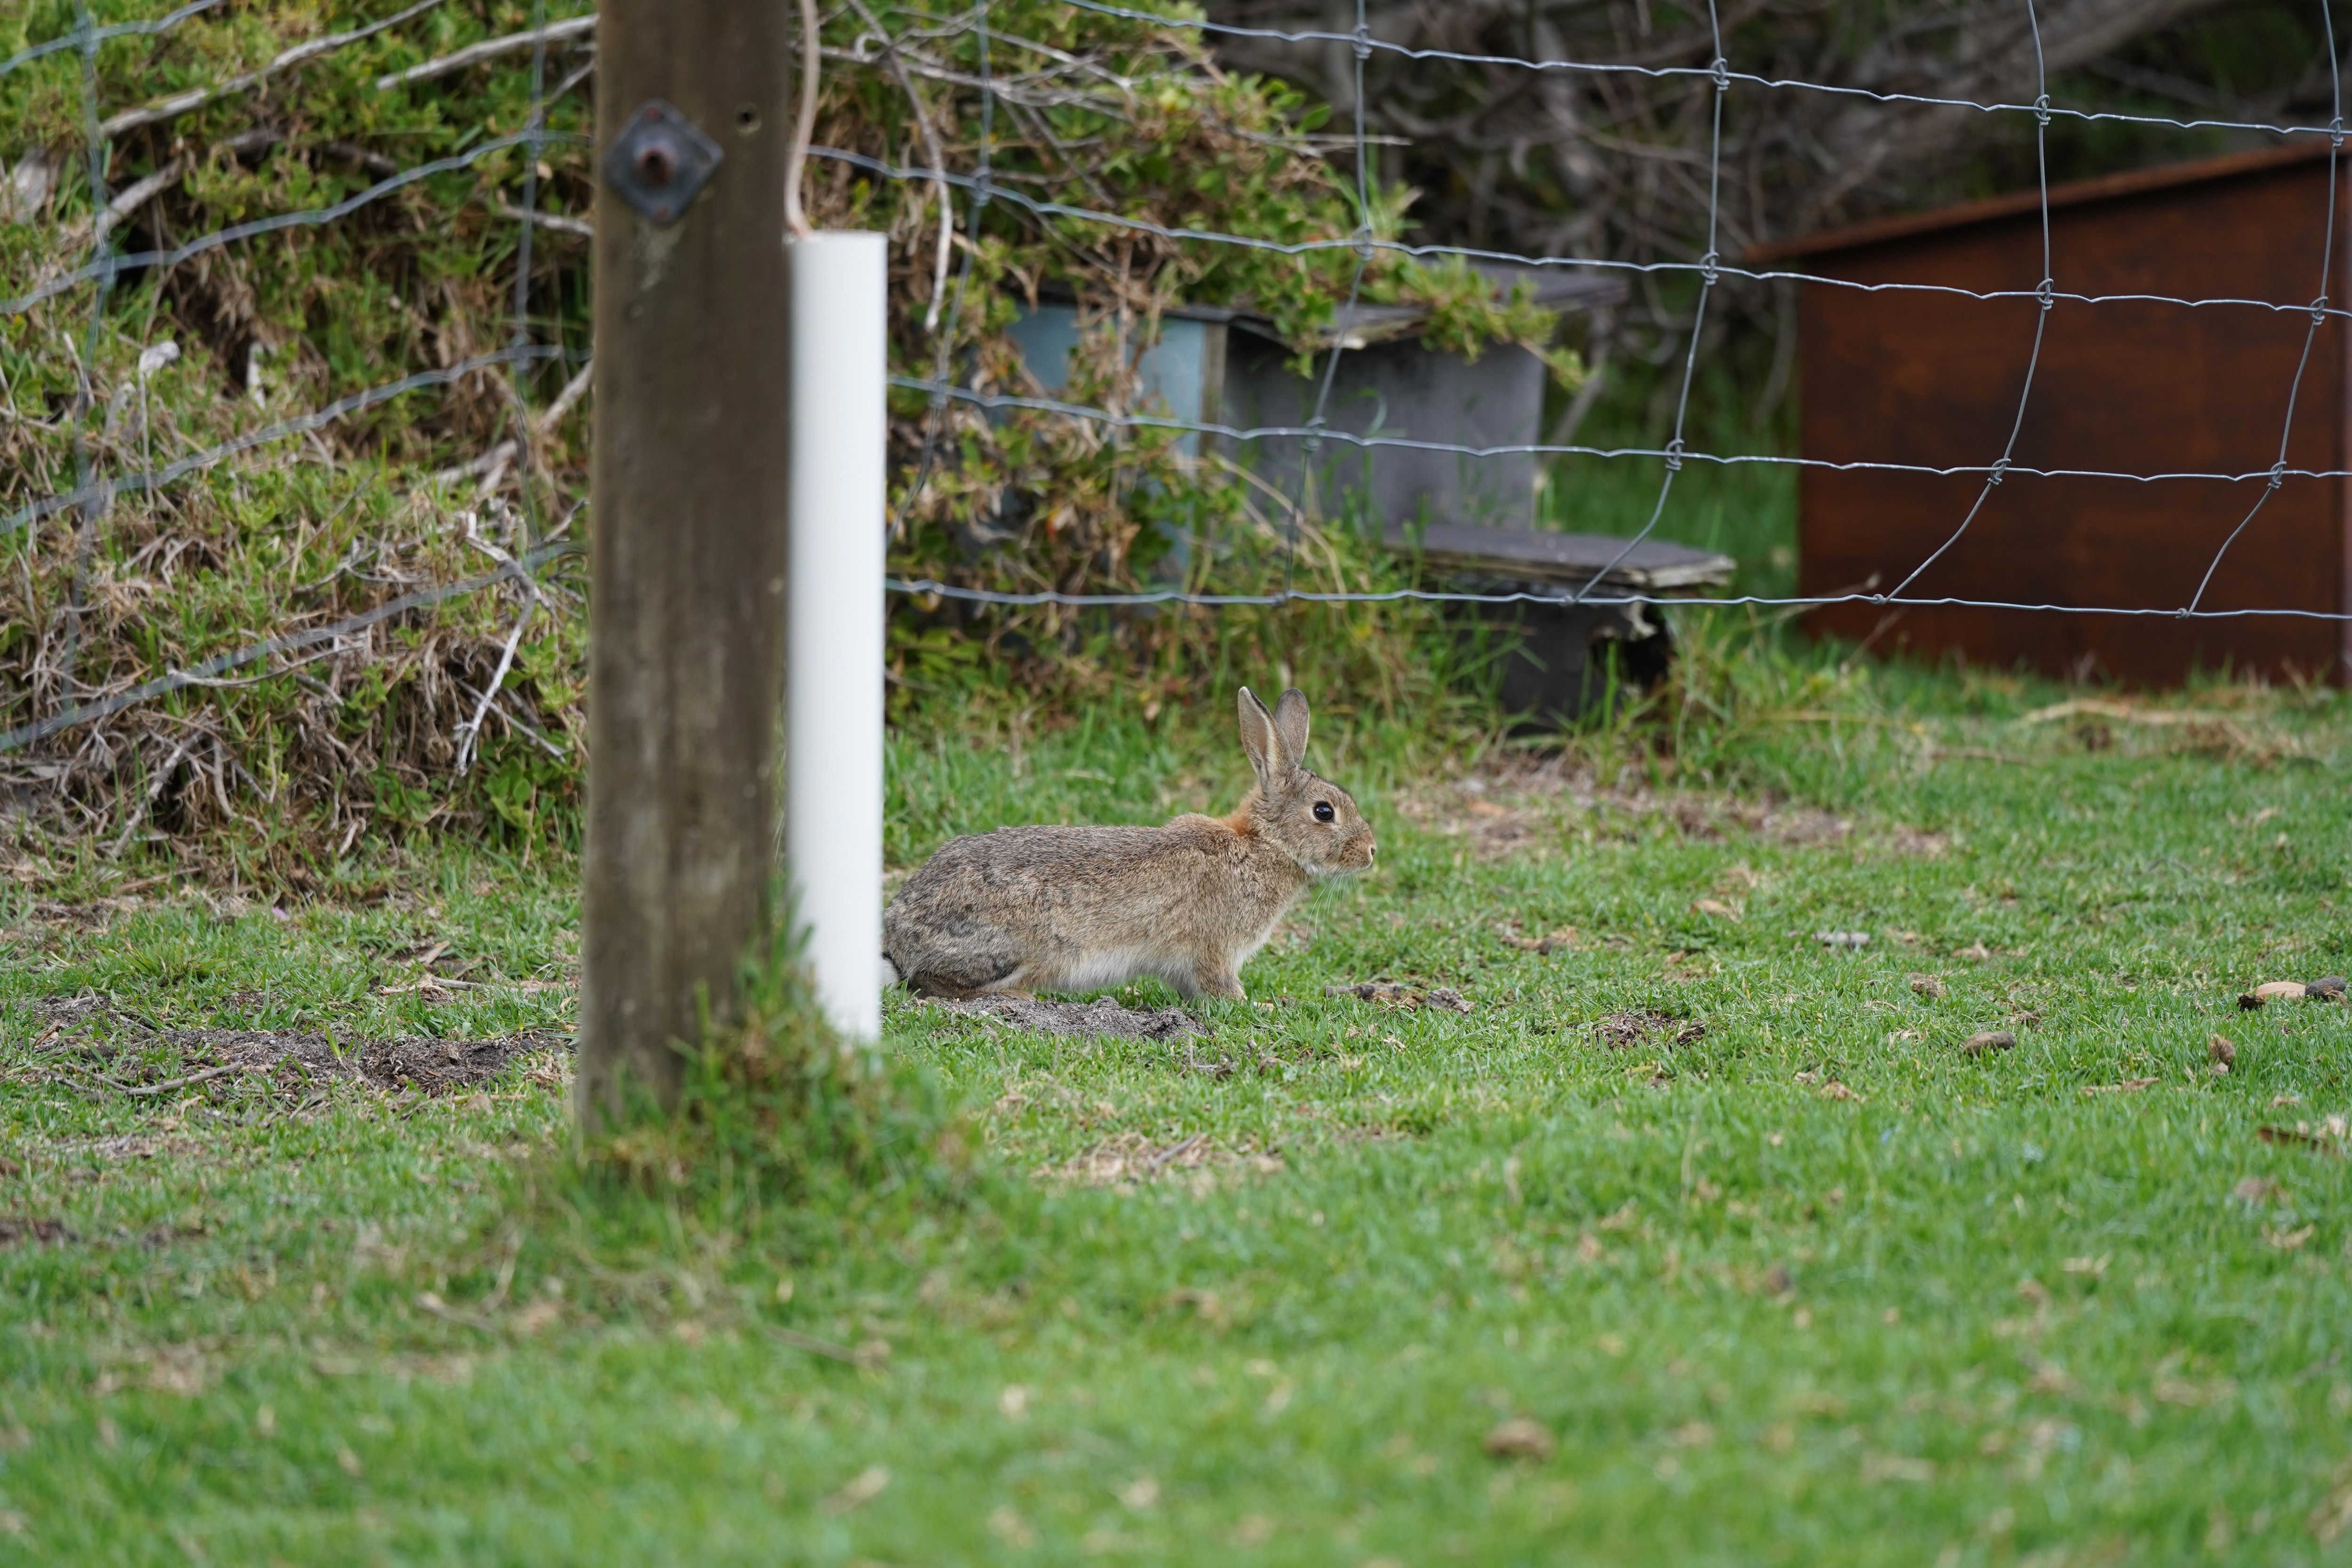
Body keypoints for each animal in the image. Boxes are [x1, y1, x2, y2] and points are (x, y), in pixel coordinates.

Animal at [883, 686, 1375, 1001]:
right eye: (1324, 812)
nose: (1371, 852)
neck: (1264, 845)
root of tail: (897, 927)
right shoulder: (1215, 951)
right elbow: (1221, 986)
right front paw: (1255, 1005)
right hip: (1014, 948)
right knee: (932, 982)